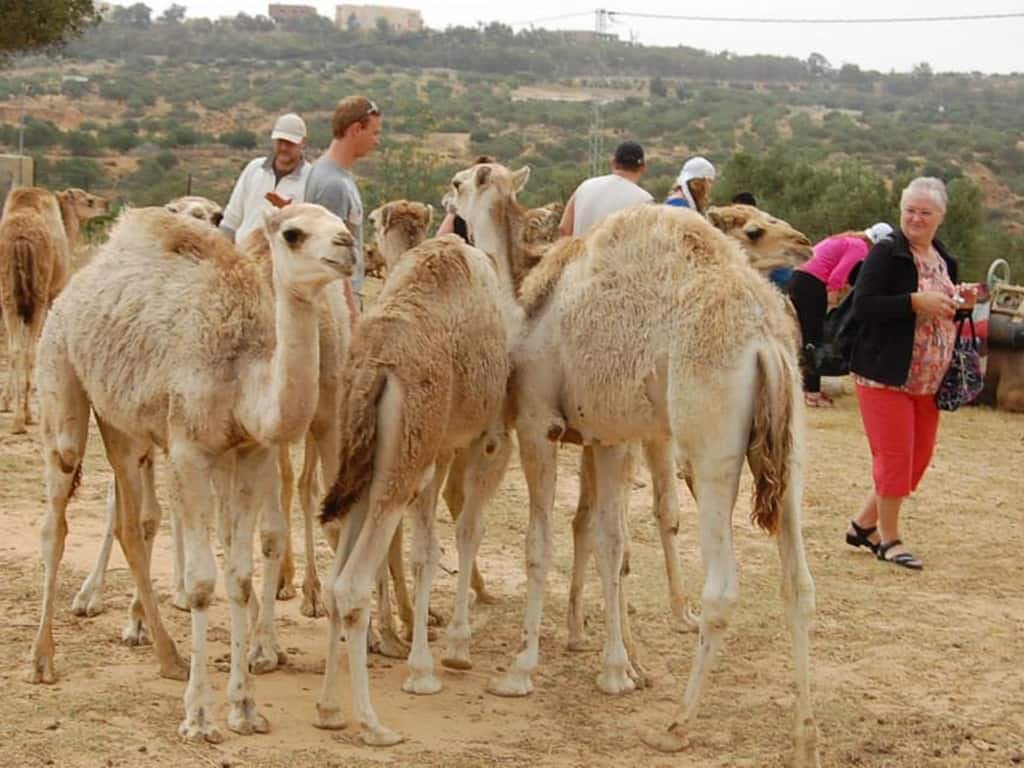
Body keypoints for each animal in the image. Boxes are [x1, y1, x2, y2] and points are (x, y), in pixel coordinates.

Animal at [0, 184, 108, 430]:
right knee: (29, 350)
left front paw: (6, 402)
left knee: (16, 348)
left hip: (8, 296)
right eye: (88, 200)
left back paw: (19, 416)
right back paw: (26, 417)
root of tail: (20, 239)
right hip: (38, 296)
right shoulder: (53, 294)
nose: (106, 203)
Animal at [29, 204, 356, 745]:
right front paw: (200, 717)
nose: (347, 246)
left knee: (131, 524)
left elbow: (240, 576)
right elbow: (203, 581)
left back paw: (167, 655)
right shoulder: (189, 448)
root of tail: (78, 283)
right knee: (57, 517)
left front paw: (244, 708)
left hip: (123, 426)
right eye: (293, 233)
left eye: (341, 220)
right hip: (61, 379)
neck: (244, 373)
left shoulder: (250, 452)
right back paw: (42, 660)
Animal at [313, 234, 520, 745]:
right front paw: (454, 650)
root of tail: (373, 368)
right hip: (404, 457)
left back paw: (329, 709)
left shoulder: (439, 449)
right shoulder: (488, 438)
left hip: (368, 461)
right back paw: (372, 724)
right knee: (350, 585)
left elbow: (426, 549)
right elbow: (467, 531)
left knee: (336, 580)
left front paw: (421, 664)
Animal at [448, 163, 815, 768]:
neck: (525, 301)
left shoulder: (538, 423)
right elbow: (609, 544)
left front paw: (521, 669)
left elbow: (540, 544)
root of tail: (765, 341)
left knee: (723, 590)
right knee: (799, 583)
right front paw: (618, 668)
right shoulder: (610, 434)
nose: (445, 197)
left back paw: (676, 726)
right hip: (790, 453)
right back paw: (806, 729)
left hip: (709, 446)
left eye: (460, 184)